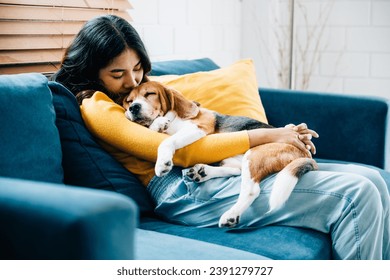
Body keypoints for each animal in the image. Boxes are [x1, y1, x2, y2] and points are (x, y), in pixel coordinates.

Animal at [123, 80, 318, 228]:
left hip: (254, 154)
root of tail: (305, 153)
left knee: (251, 189)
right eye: (129, 100)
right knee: (236, 170)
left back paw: (231, 214)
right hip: (235, 158)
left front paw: (162, 162)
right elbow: (158, 129)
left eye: (150, 94)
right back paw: (202, 172)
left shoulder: (198, 128)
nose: (133, 108)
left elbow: (167, 140)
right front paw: (158, 124)